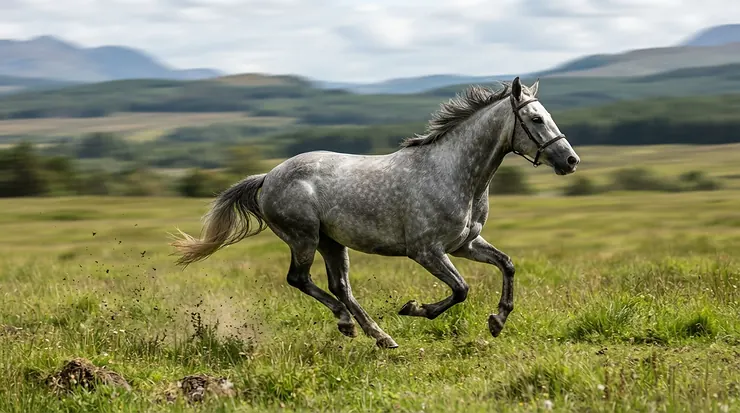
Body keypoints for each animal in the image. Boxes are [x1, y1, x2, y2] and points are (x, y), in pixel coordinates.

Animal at [171, 76, 580, 348]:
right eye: (537, 119)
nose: (570, 160)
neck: (454, 173)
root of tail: (268, 176)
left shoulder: (465, 244)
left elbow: (507, 265)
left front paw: (497, 321)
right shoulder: (426, 251)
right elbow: (461, 289)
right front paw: (414, 308)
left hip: (332, 243)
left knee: (340, 286)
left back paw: (378, 336)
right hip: (304, 238)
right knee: (300, 280)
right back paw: (351, 325)